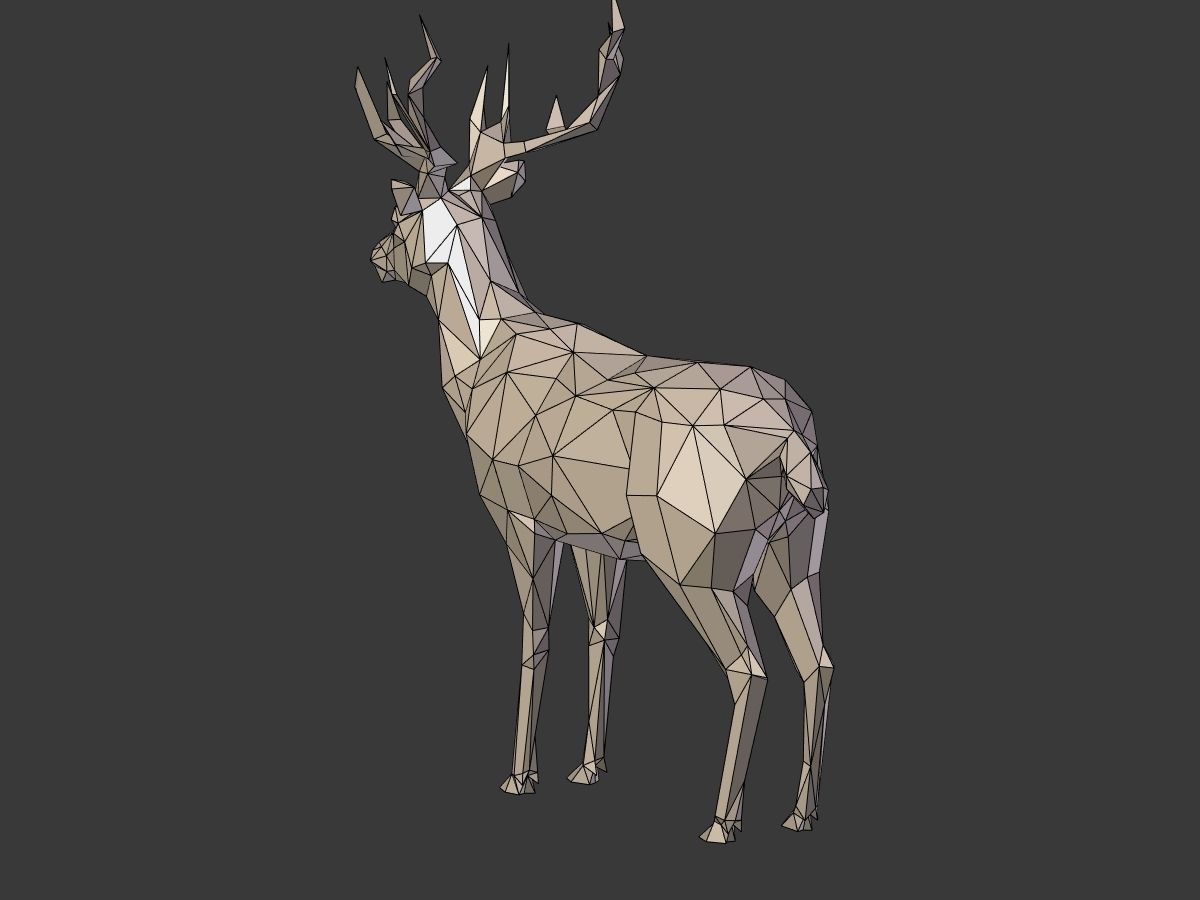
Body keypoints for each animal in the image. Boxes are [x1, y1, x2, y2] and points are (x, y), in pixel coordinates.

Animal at [355, 2, 833, 843]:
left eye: (403, 208)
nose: (379, 254)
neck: (487, 360)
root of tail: (790, 445)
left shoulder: (518, 510)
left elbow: (535, 632)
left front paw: (520, 775)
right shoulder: (597, 534)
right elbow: (603, 632)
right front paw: (588, 767)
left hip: (700, 556)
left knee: (750, 669)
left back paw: (721, 820)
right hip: (797, 551)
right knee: (819, 662)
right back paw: (799, 814)